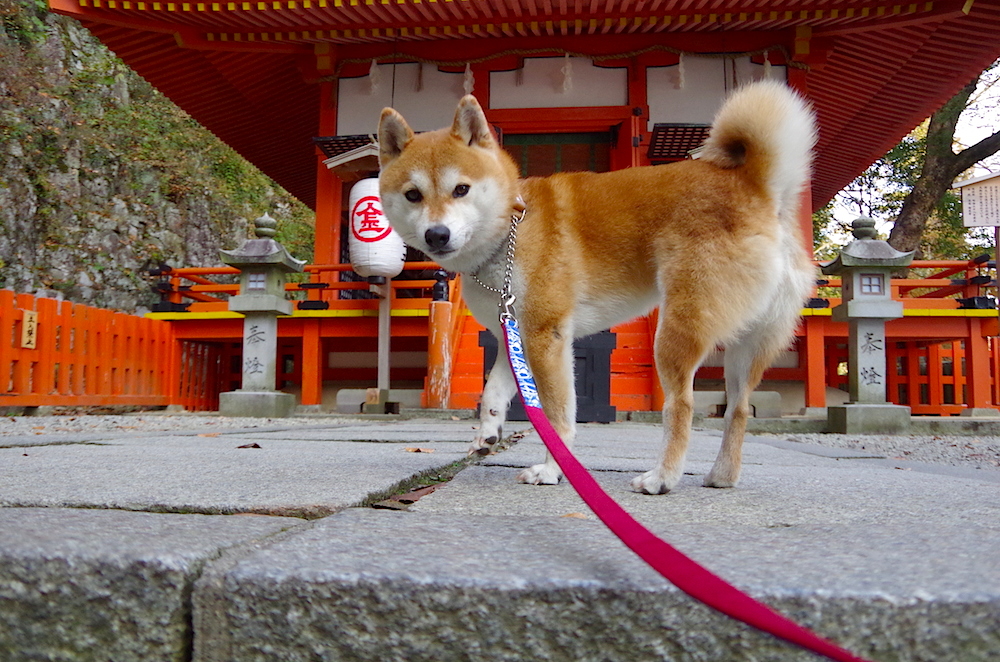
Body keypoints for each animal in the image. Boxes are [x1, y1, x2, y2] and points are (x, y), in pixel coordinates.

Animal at [378, 80, 816, 496]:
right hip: (748, 346)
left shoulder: (546, 335)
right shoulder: (511, 336)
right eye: (413, 195)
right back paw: (722, 476)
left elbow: (556, 415)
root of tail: (756, 185)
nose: (437, 234)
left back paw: (662, 478)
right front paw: (486, 436)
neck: (510, 233)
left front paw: (552, 470)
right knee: (738, 410)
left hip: (676, 331)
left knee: (681, 406)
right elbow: (492, 395)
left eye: (461, 189)